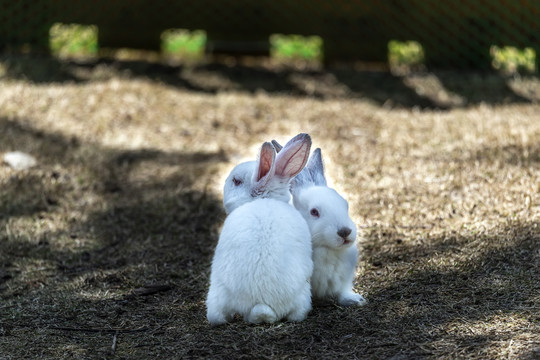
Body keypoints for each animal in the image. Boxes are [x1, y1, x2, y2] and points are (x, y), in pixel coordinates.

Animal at [274, 142, 368, 306]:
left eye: (345, 204)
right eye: (314, 212)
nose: (344, 232)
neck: (325, 248)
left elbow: (342, 291)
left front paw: (356, 299)